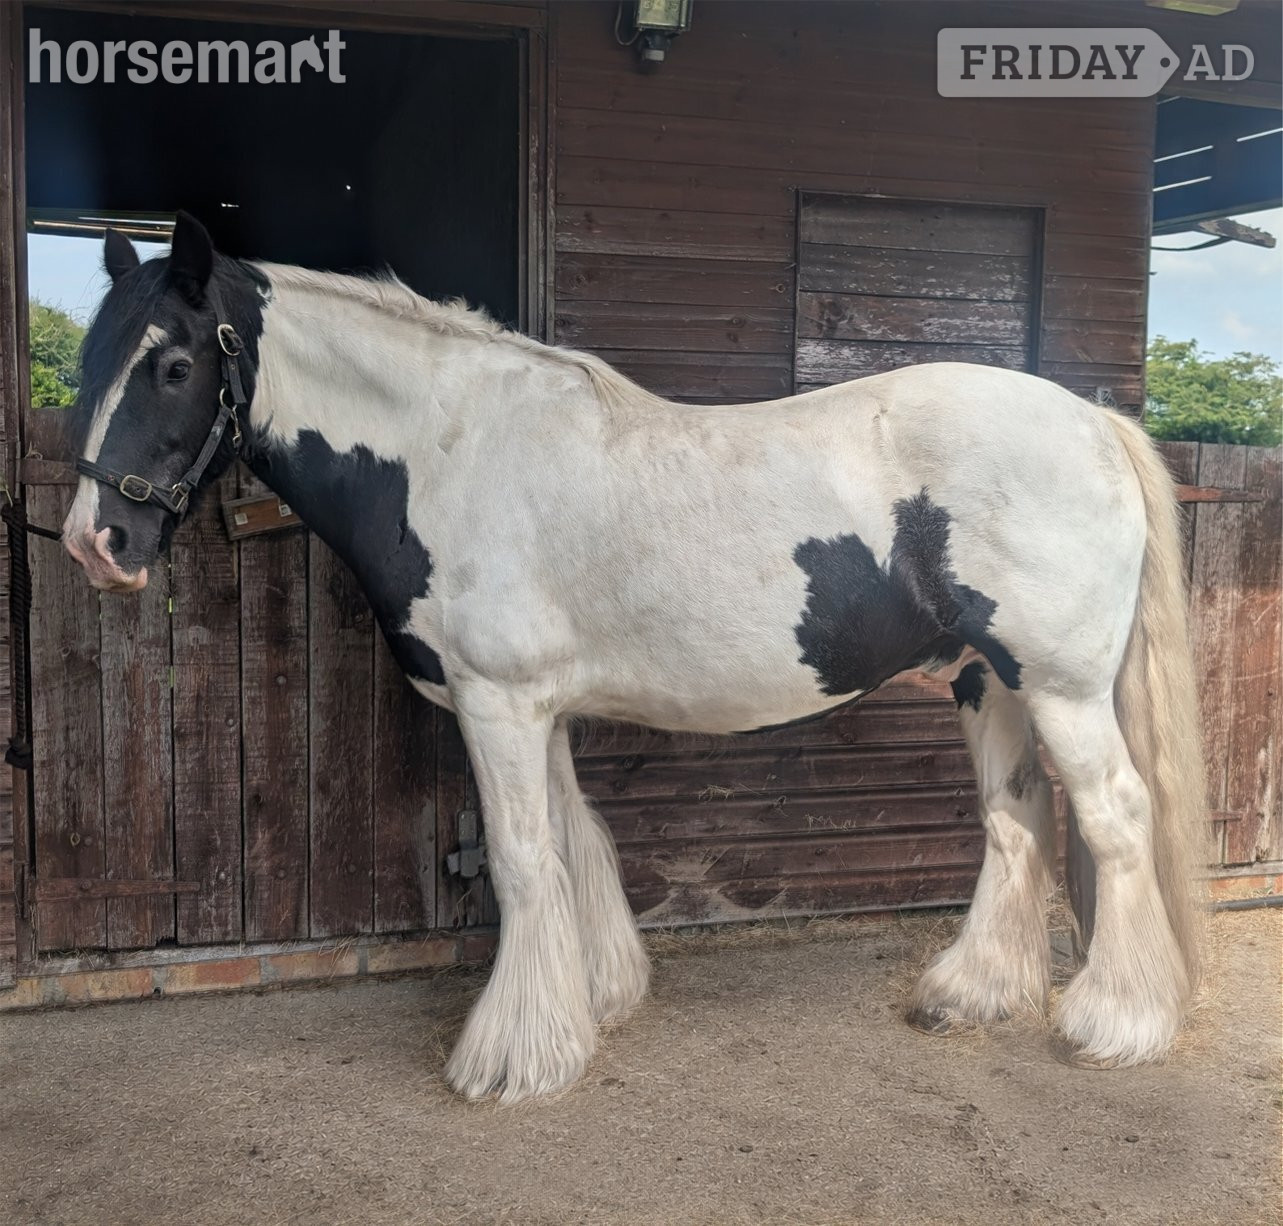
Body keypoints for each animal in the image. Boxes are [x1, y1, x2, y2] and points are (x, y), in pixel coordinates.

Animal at [61, 212, 1207, 1101]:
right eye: (87, 363)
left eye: (173, 364)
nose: (93, 542)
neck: (453, 449)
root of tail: (1093, 422)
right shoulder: (539, 709)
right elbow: (574, 843)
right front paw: (596, 1000)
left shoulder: (497, 703)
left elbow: (523, 860)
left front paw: (512, 1059)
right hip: (987, 680)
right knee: (1016, 818)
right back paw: (968, 995)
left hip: (1058, 685)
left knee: (1114, 816)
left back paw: (1114, 1021)